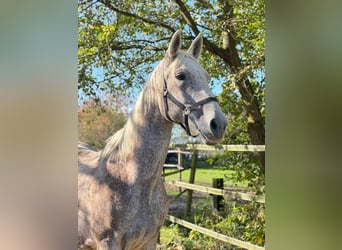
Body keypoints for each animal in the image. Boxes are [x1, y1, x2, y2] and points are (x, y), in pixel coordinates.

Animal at [77, 30, 227, 250]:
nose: (218, 124)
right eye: (180, 76)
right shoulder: (107, 242)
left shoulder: (149, 240)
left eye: (206, 76)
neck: (129, 176)